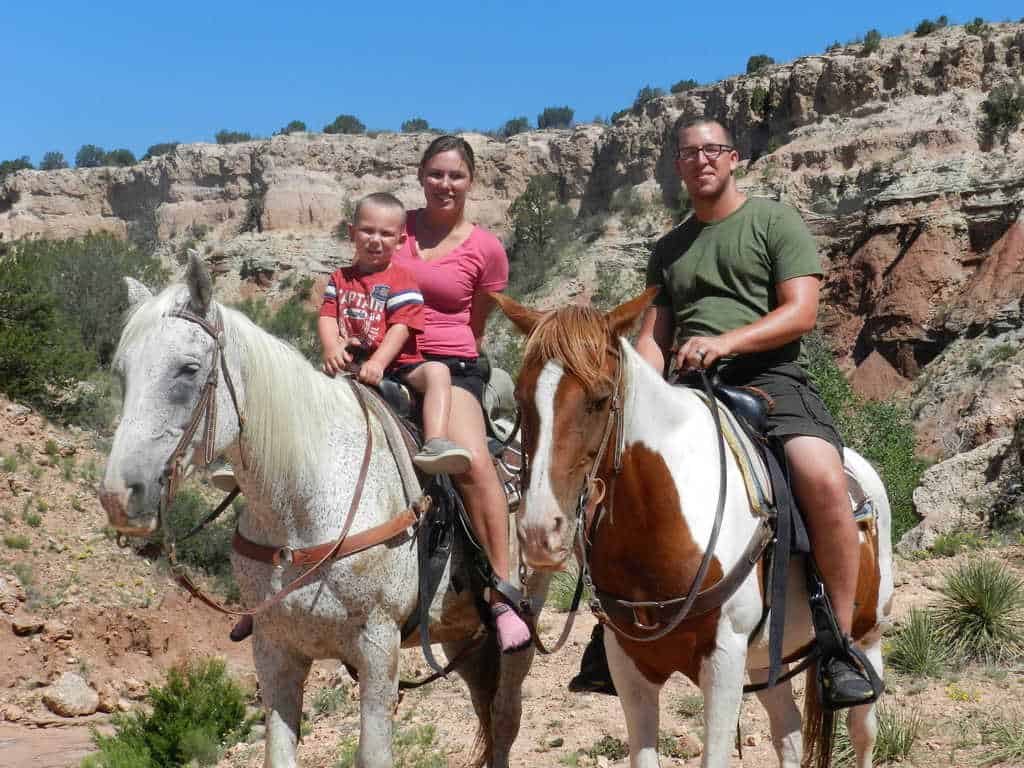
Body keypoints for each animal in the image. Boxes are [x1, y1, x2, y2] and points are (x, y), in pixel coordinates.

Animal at [98, 256, 540, 765]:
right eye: (121, 372)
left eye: (188, 370)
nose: (118, 496)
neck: (303, 507)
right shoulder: (275, 649)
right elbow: (279, 752)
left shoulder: (377, 647)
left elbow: (373, 753)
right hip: (460, 635)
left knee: (504, 720)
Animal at [491, 290, 892, 768]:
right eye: (519, 397)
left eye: (600, 397)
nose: (539, 532)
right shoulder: (630, 666)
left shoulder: (723, 661)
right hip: (765, 663)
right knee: (790, 733)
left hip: (868, 636)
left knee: (863, 732)